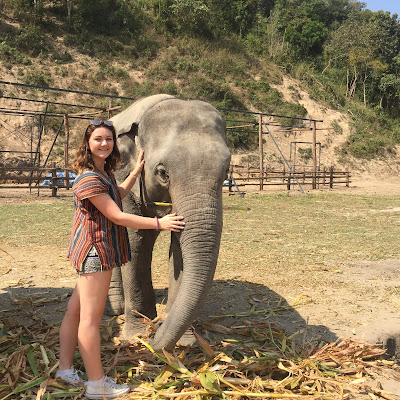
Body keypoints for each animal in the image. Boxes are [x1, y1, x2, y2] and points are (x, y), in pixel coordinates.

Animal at [106, 95, 231, 352]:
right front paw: (137, 335)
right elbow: (136, 242)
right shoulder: (124, 179)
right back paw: (115, 309)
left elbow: (179, 250)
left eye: (226, 171)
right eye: (163, 172)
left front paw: (185, 341)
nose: (156, 331)